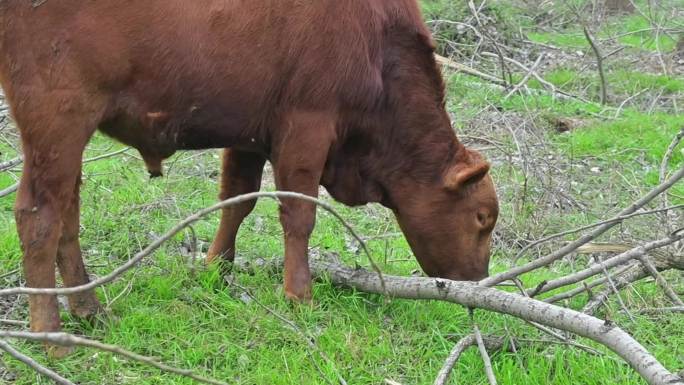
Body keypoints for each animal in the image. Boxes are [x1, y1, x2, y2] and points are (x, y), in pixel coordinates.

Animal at [0, 0, 496, 350]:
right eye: (482, 218)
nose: (478, 283)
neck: (377, 46)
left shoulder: (249, 135)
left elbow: (237, 200)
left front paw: (216, 269)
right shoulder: (306, 129)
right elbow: (299, 216)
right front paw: (299, 295)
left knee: (68, 215)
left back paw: (89, 311)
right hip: (57, 123)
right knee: (39, 218)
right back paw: (52, 336)